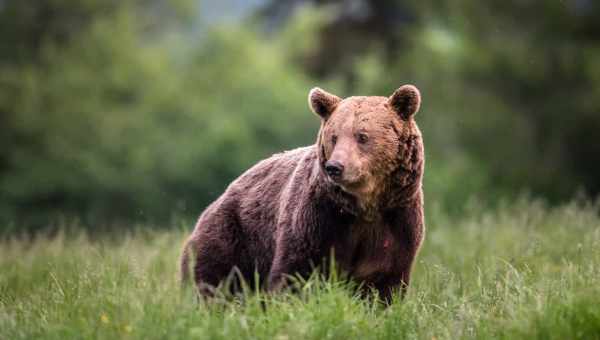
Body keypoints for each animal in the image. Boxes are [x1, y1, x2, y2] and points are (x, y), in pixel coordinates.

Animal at [180, 85, 424, 302]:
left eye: (362, 136)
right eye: (334, 136)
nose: (335, 167)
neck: (363, 206)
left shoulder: (395, 223)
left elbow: (382, 283)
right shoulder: (319, 218)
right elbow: (296, 273)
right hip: (232, 237)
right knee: (216, 282)